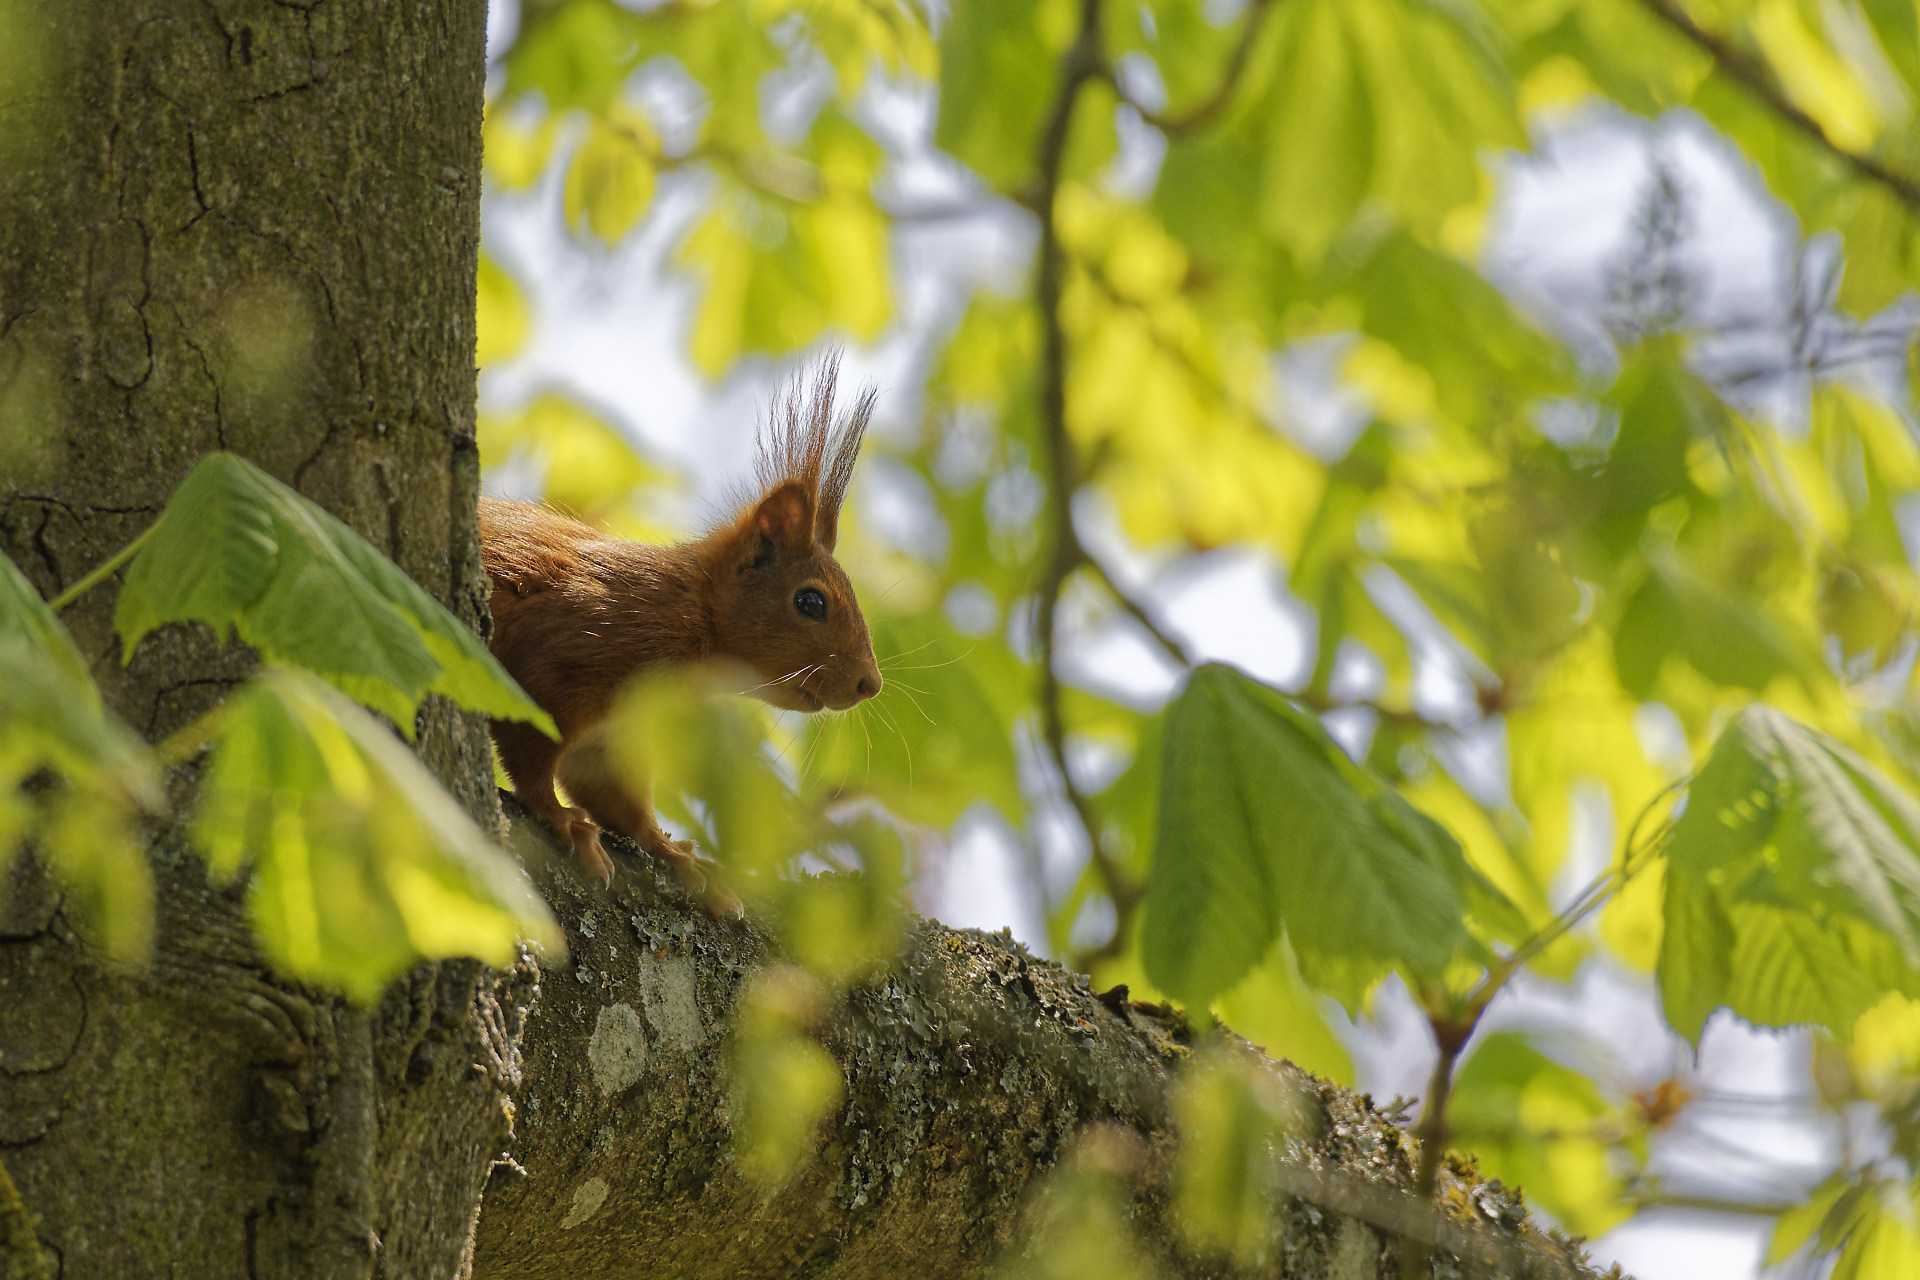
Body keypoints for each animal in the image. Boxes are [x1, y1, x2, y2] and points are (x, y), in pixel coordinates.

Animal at [478, 357, 883, 893]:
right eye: (811, 602)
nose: (870, 684)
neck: (684, 614)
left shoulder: (609, 739)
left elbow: (615, 800)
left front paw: (672, 852)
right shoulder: (561, 655)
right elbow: (531, 756)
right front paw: (564, 820)